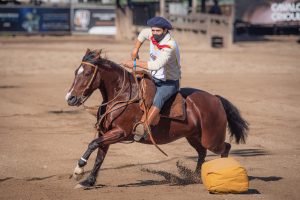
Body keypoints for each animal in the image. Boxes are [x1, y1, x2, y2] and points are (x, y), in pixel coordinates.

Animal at [65, 49, 248, 188]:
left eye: (87, 73)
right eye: (75, 72)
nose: (70, 98)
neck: (123, 95)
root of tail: (216, 99)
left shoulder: (120, 133)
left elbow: (92, 145)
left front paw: (78, 171)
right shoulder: (106, 133)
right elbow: (99, 156)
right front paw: (88, 181)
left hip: (212, 139)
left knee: (225, 147)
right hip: (194, 137)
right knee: (202, 153)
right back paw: (196, 177)